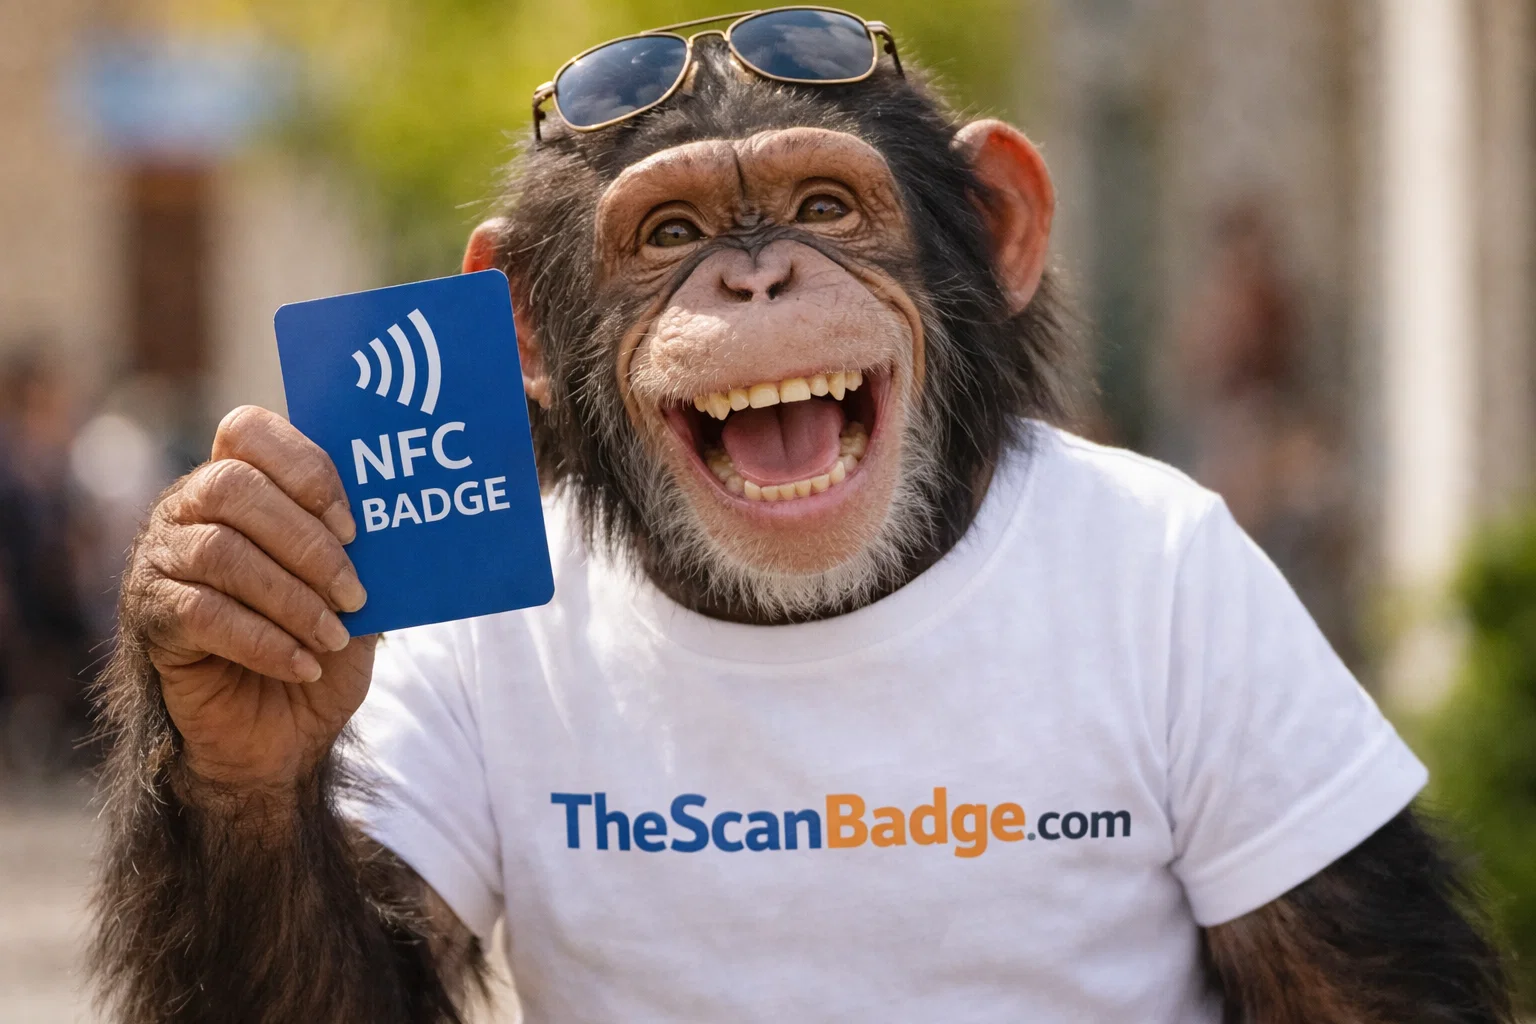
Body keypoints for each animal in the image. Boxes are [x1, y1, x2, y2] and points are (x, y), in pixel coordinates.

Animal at [90, 14, 1510, 1024]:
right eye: (671, 231)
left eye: (824, 205)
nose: (756, 273)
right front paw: (228, 615)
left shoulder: (1236, 614)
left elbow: (1353, 986)